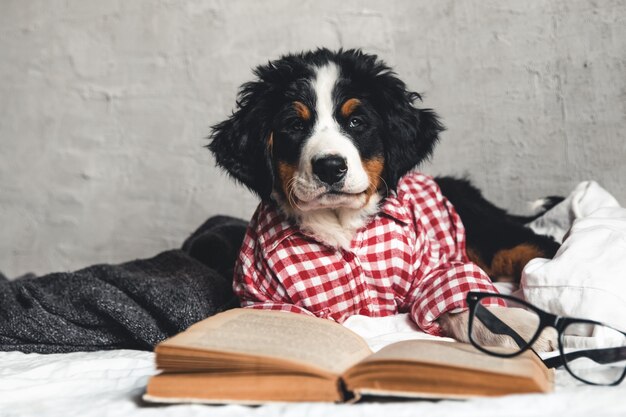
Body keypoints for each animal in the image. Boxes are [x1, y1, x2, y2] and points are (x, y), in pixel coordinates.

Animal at [208, 48, 556, 348]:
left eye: (356, 122)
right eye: (294, 125)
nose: (330, 167)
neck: (341, 223)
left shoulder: (428, 266)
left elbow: (457, 294)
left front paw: (518, 330)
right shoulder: (263, 298)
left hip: (486, 235)